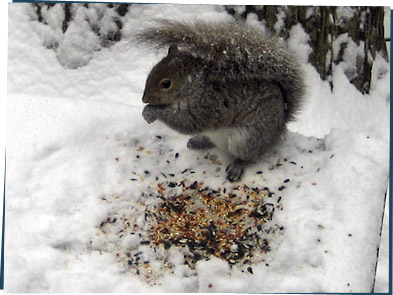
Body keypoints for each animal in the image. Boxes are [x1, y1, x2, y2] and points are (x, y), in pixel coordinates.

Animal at [136, 19, 304, 182]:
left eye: (166, 84)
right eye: (151, 72)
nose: (144, 99)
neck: (195, 87)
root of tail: (280, 127)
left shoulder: (207, 106)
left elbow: (187, 122)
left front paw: (153, 111)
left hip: (247, 139)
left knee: (248, 155)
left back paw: (237, 166)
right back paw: (200, 141)